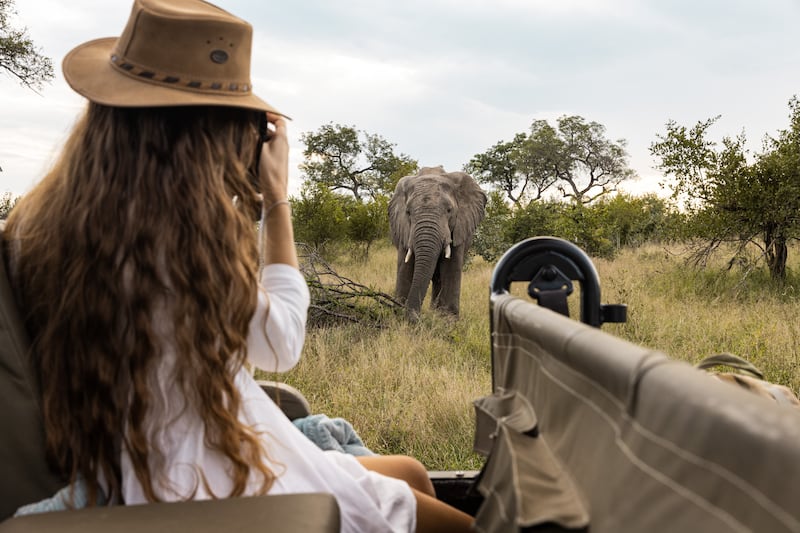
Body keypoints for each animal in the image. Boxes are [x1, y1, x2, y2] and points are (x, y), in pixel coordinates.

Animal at [388, 166, 487, 321]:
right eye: (408, 212)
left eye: (449, 210)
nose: (417, 317)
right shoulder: (403, 229)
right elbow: (405, 266)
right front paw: (398, 312)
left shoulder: (459, 227)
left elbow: (452, 266)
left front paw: (448, 319)